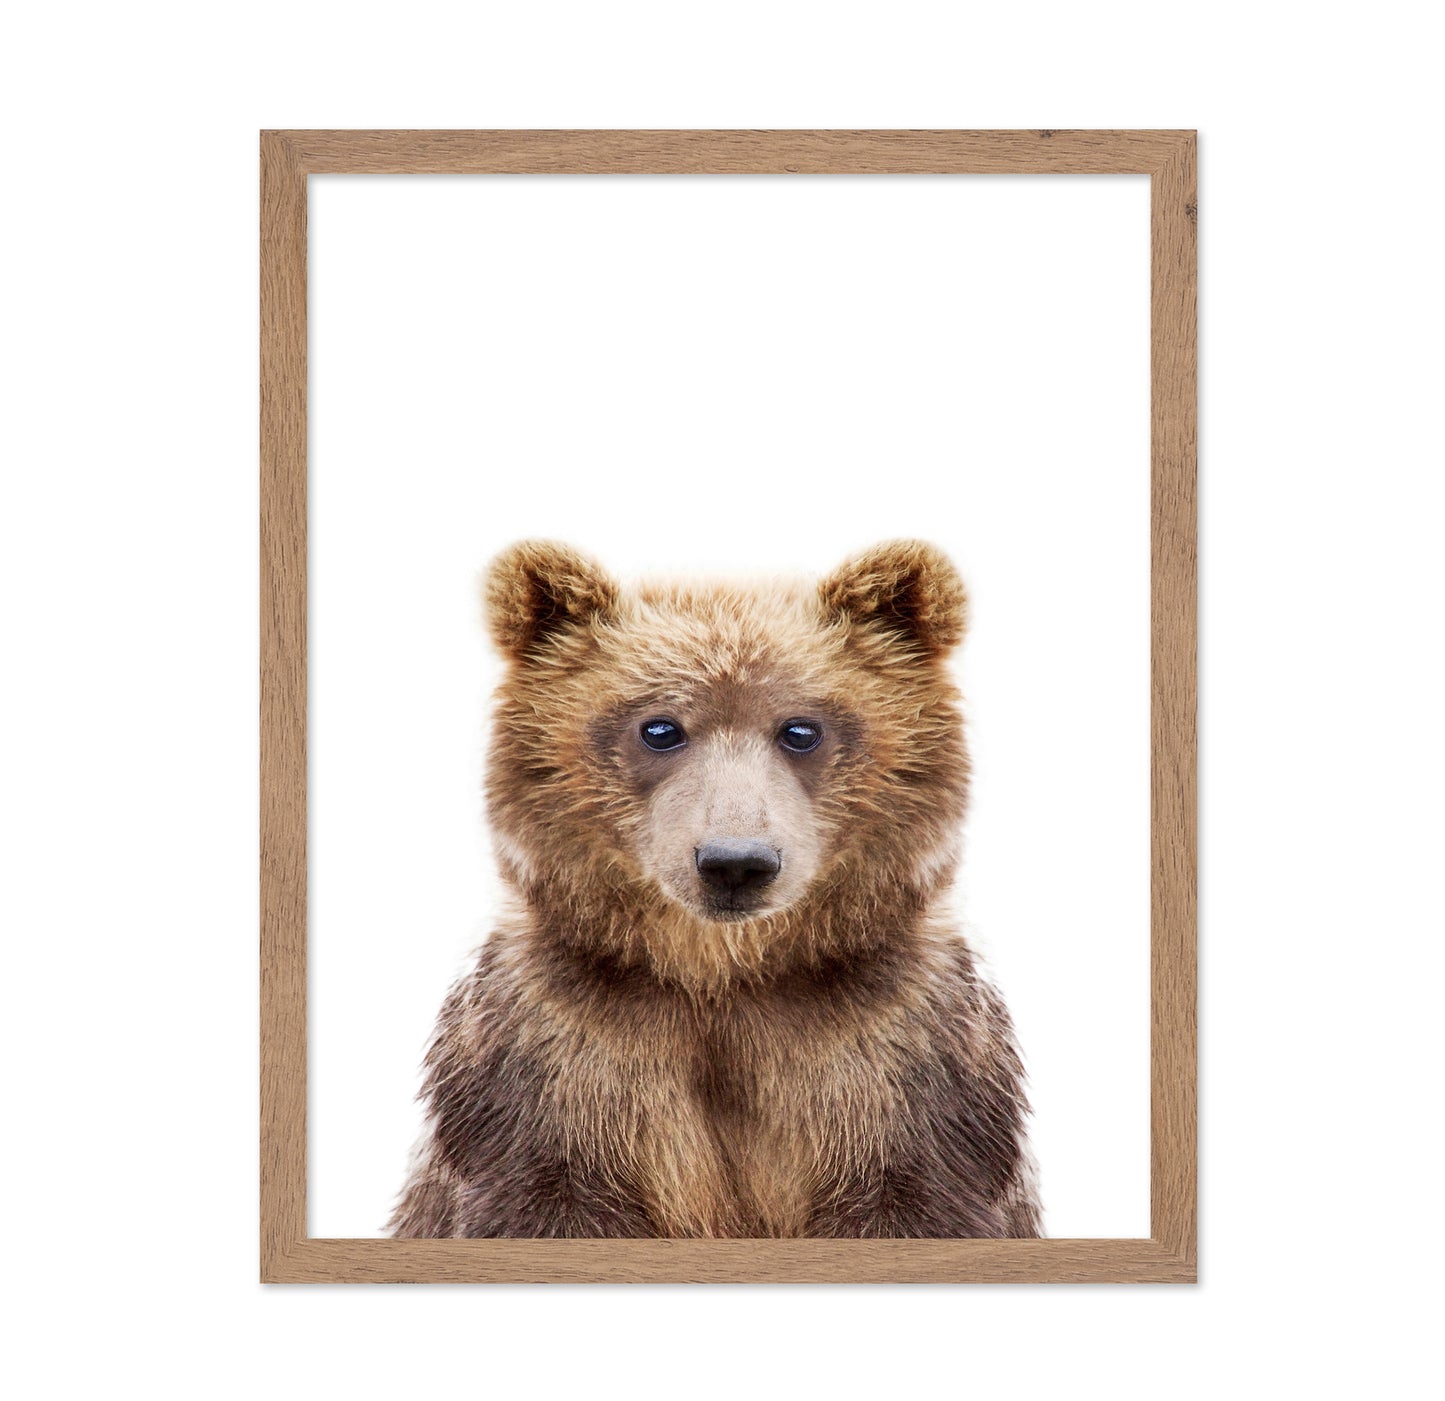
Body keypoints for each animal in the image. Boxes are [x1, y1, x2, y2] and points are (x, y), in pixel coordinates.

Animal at [388, 539, 1042, 1239]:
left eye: (800, 729)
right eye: (660, 728)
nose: (735, 862)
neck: (721, 976)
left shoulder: (899, 1056)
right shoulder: (554, 1057)